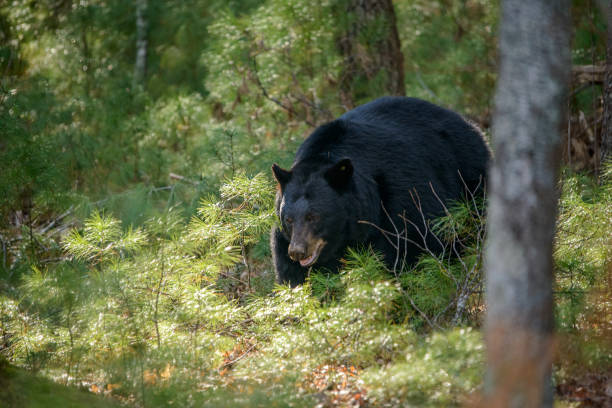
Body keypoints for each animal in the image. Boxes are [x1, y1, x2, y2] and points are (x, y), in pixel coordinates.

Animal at [270, 97, 490, 286]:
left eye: (314, 216)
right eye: (288, 219)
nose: (298, 251)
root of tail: (469, 124)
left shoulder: (403, 200)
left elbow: (420, 247)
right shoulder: (284, 239)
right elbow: (292, 276)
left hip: (471, 180)